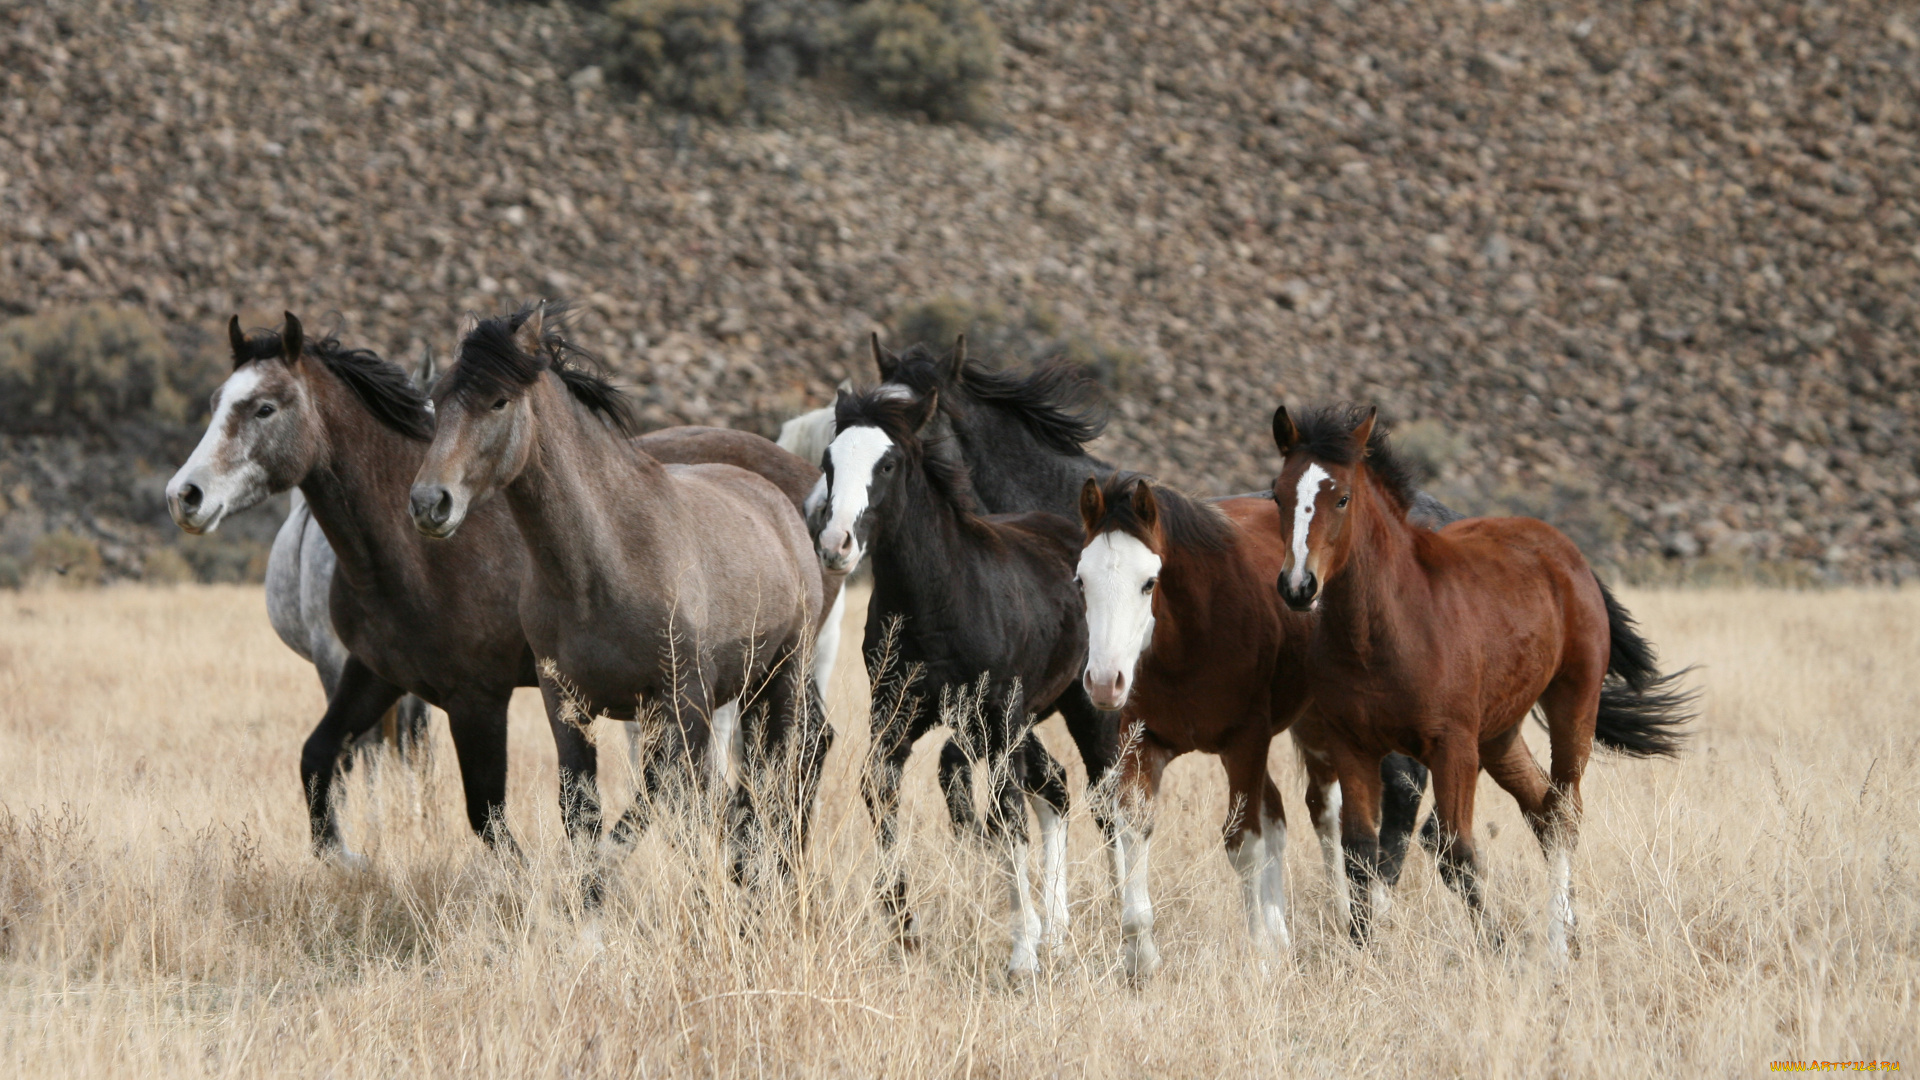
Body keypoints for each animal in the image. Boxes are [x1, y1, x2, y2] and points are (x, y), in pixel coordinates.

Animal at [163, 313, 825, 857]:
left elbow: (487, 816)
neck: (407, 555)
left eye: (265, 407)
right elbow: (318, 759)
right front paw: (347, 862)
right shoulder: (373, 673)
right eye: (219, 400)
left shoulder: (476, 697)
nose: (184, 496)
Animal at [810, 380, 1090, 976]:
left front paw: (1021, 955)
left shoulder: (997, 716)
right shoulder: (895, 715)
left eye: (887, 463)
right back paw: (1056, 932)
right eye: (828, 461)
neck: (940, 599)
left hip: (1079, 710)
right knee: (1055, 786)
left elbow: (1005, 816)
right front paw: (905, 930)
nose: (836, 544)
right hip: (1019, 721)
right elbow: (881, 793)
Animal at [1075, 470, 1313, 976]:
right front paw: (1140, 957)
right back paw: (1281, 937)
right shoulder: (1141, 742)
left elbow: (1243, 843)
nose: (1104, 682)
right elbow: (1134, 829)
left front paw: (1258, 957)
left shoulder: (1245, 742)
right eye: (1081, 581)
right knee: (1278, 816)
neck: (1191, 639)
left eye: (1149, 582)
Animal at [1274, 401, 1697, 949]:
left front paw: (1497, 946)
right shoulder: (1353, 745)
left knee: (1564, 812)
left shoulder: (1451, 746)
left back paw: (1556, 943)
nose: (1298, 586)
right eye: (1278, 494)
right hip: (1499, 731)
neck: (1382, 630)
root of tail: (1566, 551)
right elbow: (1361, 852)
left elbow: (1456, 848)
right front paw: (1362, 952)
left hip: (1572, 703)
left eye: (1342, 497)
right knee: (1541, 806)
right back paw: (1570, 930)